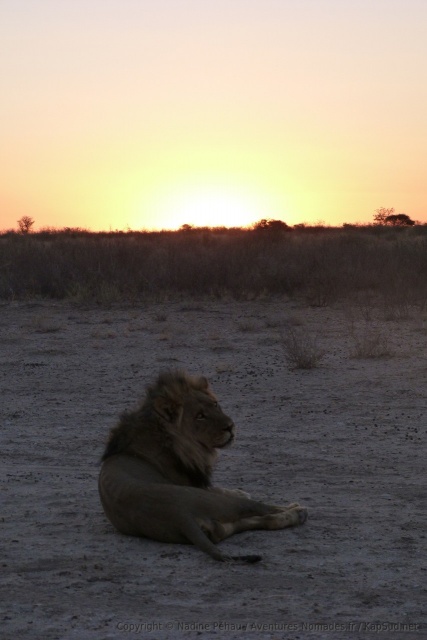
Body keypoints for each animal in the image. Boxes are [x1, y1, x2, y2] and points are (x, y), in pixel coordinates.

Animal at [98, 370, 307, 562]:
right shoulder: (197, 484)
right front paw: (241, 492)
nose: (230, 426)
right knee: (265, 509)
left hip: (223, 527)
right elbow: (221, 489)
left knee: (264, 520)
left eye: (215, 404)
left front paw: (239, 490)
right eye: (200, 416)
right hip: (220, 504)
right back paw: (297, 510)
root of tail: (180, 516)